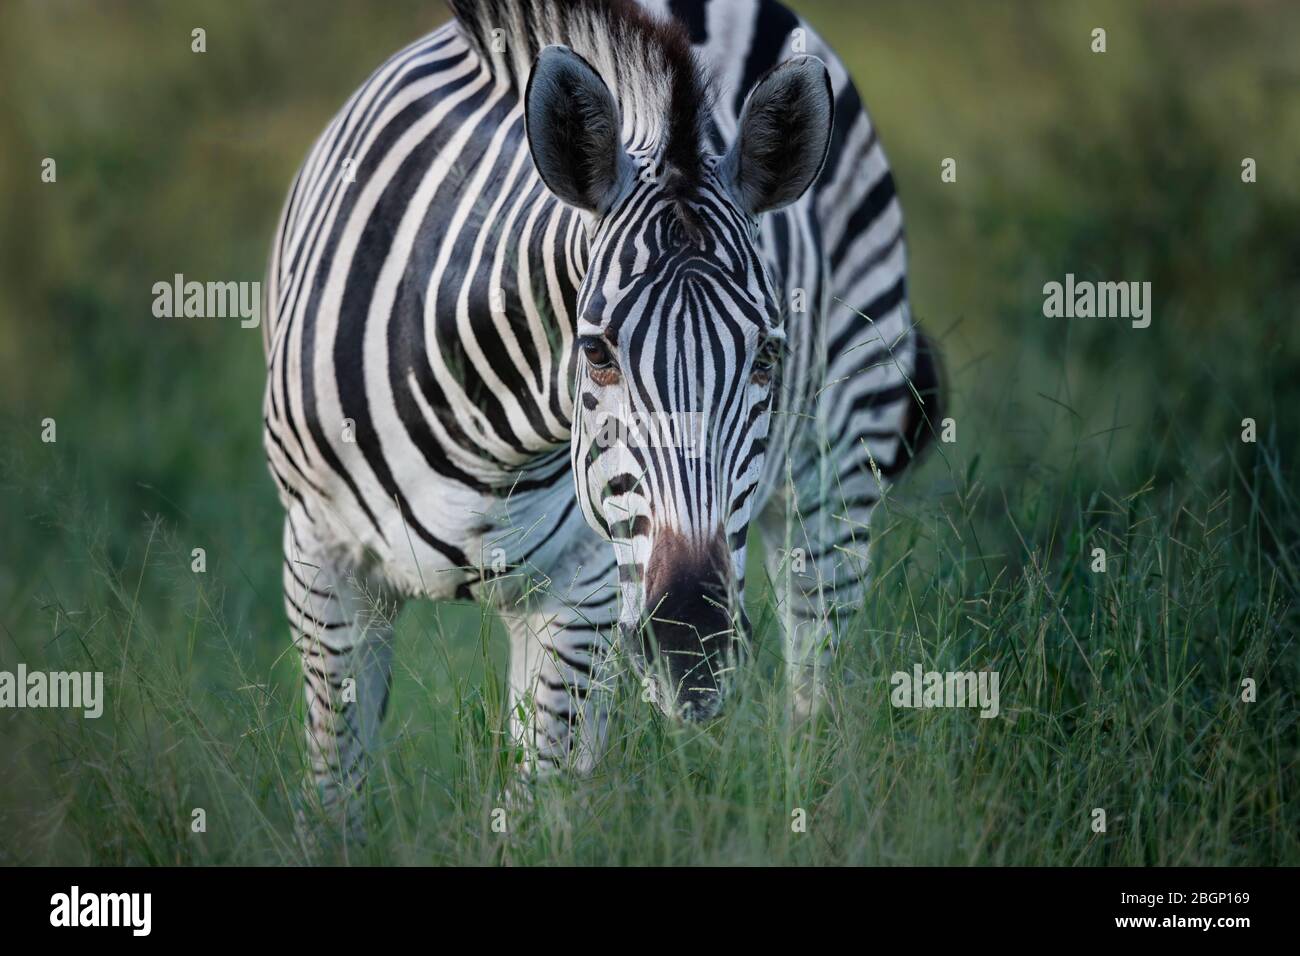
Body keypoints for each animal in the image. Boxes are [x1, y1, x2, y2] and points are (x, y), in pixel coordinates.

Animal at [263, 0, 942, 832]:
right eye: (595, 353)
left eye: (766, 357)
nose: (691, 651)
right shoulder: (320, 565)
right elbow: (337, 793)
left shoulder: (581, 591)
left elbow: (538, 805)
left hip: (836, 479)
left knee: (815, 691)